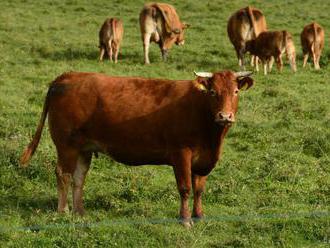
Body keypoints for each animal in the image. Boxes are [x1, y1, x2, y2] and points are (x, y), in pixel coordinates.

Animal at [20, 70, 253, 228]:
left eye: (236, 91)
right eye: (213, 92)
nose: (225, 116)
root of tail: (67, 76)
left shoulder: (203, 159)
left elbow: (199, 189)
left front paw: (199, 215)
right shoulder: (181, 154)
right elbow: (185, 188)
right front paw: (185, 220)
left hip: (83, 149)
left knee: (79, 178)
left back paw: (80, 211)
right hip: (67, 145)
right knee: (64, 174)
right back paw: (64, 211)